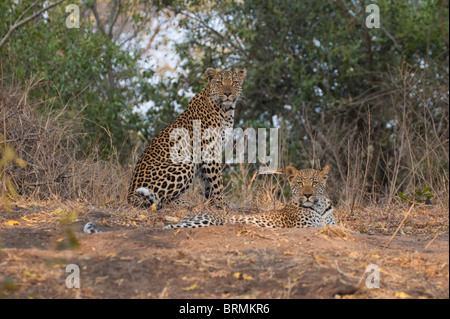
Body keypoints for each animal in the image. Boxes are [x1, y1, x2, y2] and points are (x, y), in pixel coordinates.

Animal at [126, 67, 248, 210]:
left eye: (235, 82)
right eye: (219, 82)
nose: (228, 93)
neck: (226, 110)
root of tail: (130, 195)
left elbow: (208, 181)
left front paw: (211, 202)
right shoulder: (210, 149)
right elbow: (216, 179)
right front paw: (222, 202)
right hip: (185, 162)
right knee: (161, 200)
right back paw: (186, 203)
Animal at [163, 165, 336, 230]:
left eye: (314, 183)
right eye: (300, 183)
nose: (307, 195)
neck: (320, 207)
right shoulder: (307, 226)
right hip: (204, 220)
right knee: (169, 226)